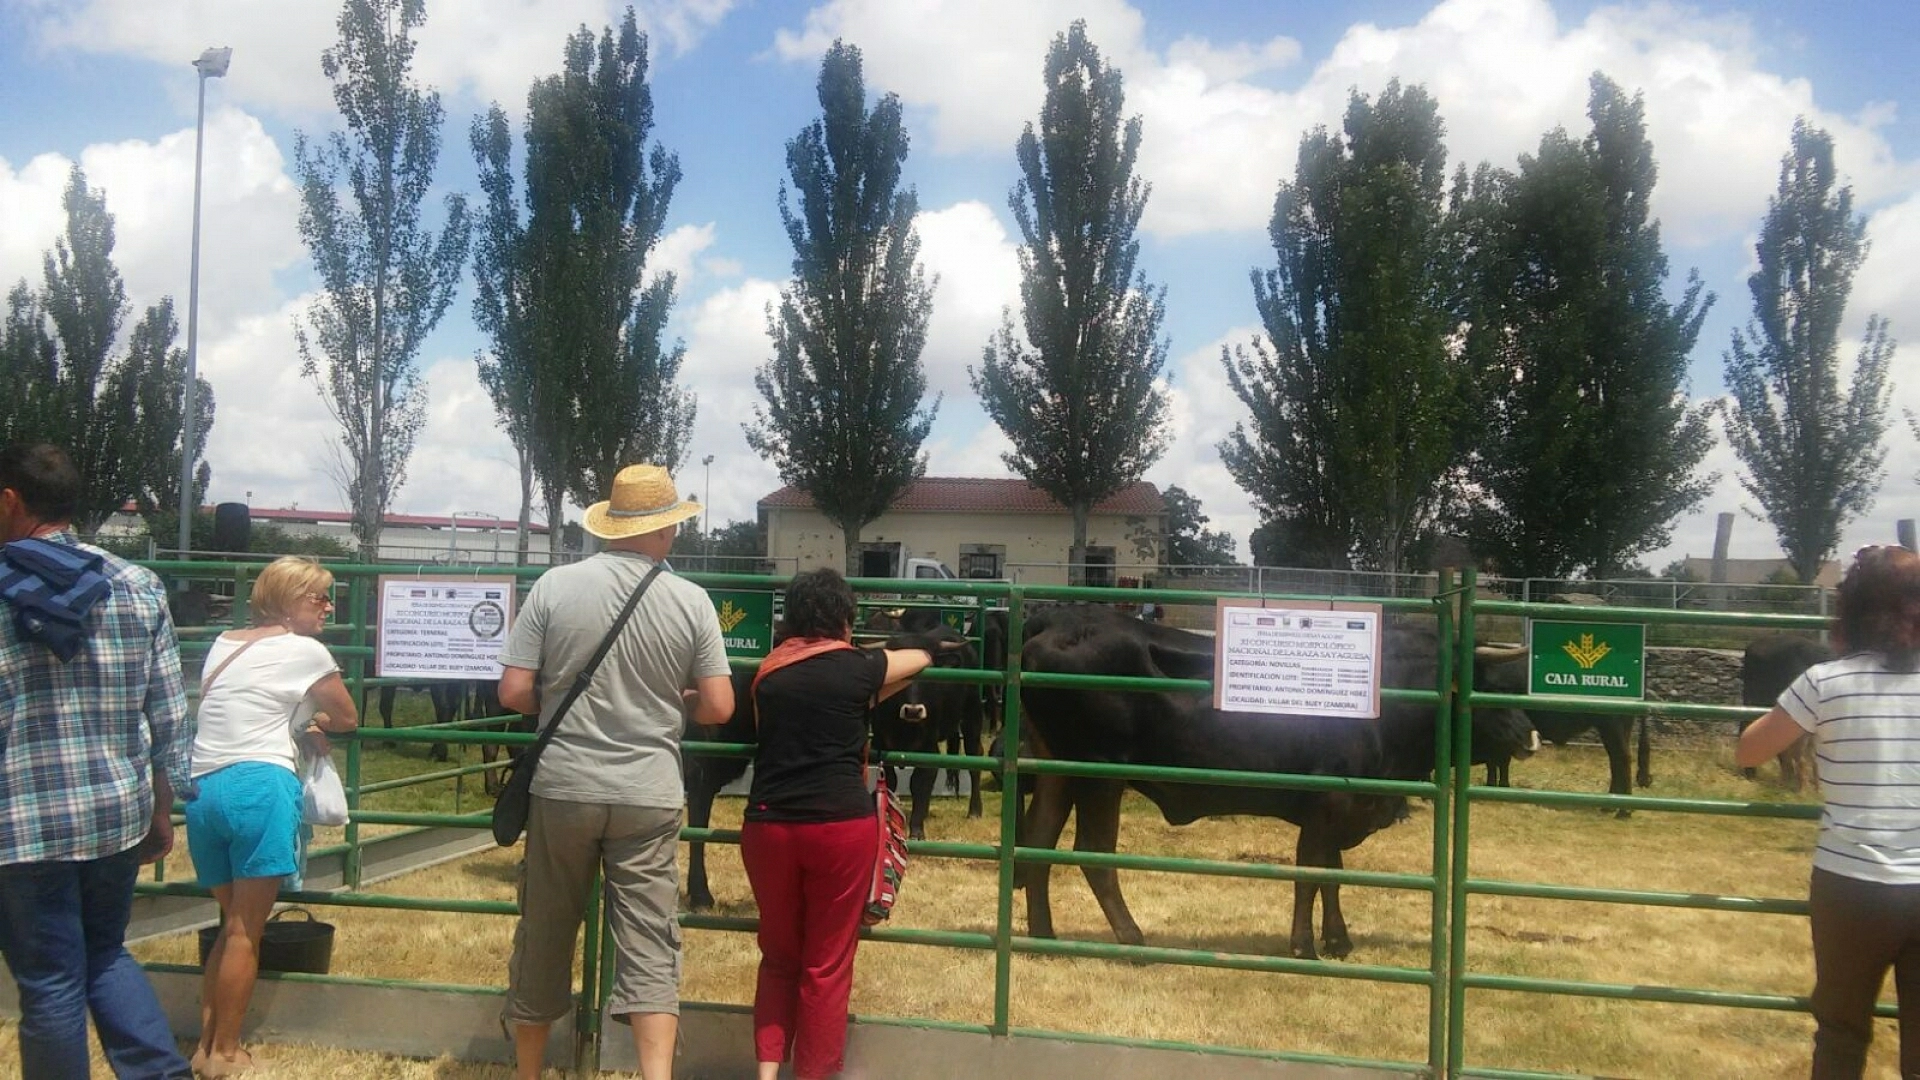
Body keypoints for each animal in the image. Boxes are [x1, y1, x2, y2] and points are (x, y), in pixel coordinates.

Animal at [875, 622, 990, 841]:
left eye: (928, 670)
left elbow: (920, 783)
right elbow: (892, 782)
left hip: (972, 715)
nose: (913, 710)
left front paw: (917, 830)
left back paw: (975, 811)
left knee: (975, 758)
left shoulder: (929, 748)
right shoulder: (882, 746)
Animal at [1021, 599, 1528, 953]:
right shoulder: (1327, 802)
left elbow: (1331, 874)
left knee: (1036, 845)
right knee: (1093, 853)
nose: (1531, 733)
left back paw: (1044, 937)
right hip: (1101, 773)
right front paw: (1304, 946)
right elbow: (1309, 873)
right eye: (1485, 685)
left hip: (1057, 771)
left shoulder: (1340, 808)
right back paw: (1132, 938)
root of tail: (1058, 620)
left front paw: (1338, 940)